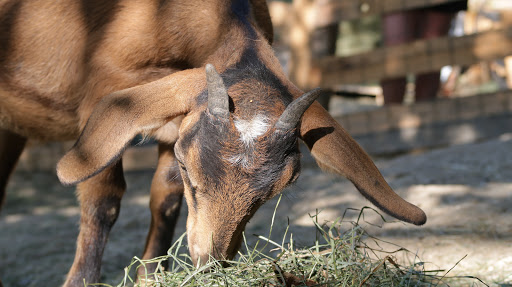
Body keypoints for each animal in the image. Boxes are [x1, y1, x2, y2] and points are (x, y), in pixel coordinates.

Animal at [0, 1, 424, 286]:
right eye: (189, 166)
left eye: (280, 188)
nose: (211, 262)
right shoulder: (103, 88)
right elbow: (103, 197)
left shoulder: (174, 127)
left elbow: (165, 198)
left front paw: (152, 275)